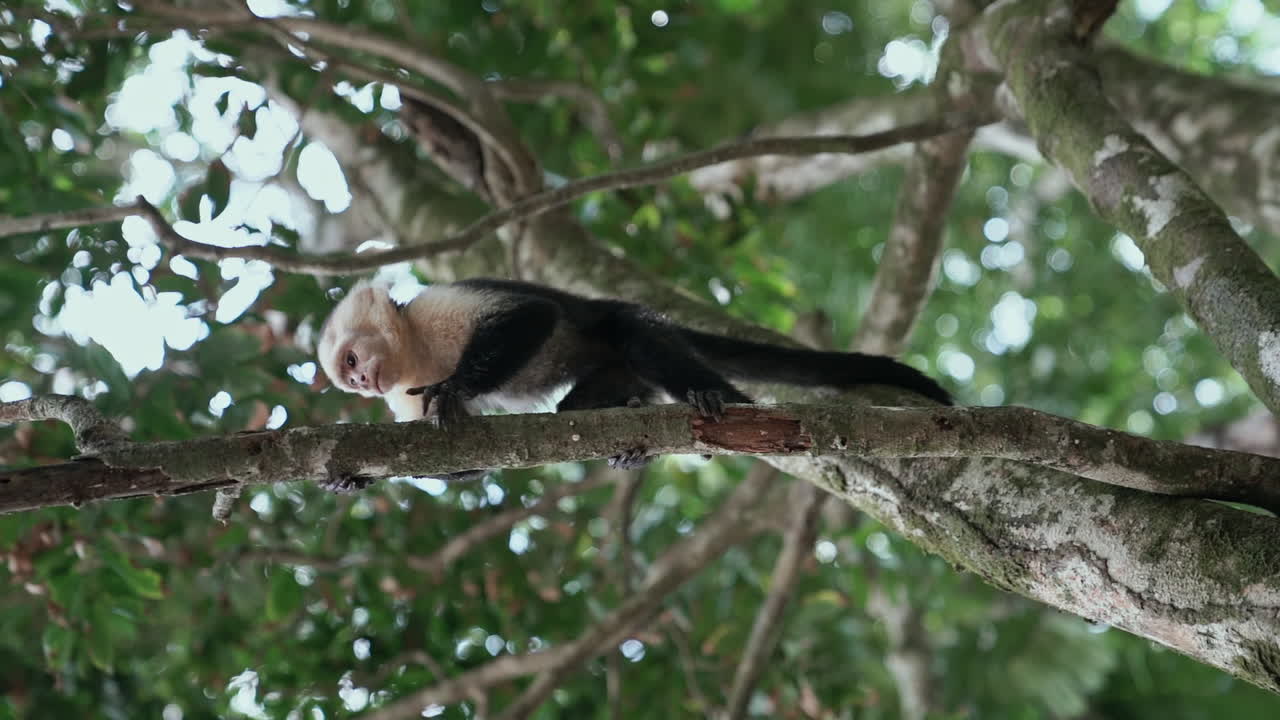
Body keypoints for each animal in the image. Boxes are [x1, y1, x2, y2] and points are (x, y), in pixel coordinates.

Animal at [316, 278, 951, 492]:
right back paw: (629, 434)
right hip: (608, 371)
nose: (363, 381)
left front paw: (453, 388)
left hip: (612, 323)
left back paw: (724, 402)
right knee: (574, 412)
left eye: (351, 357)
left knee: (638, 336)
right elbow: (462, 458)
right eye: (349, 373)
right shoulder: (401, 395)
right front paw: (354, 479)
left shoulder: (433, 310)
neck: (414, 352)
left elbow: (531, 317)